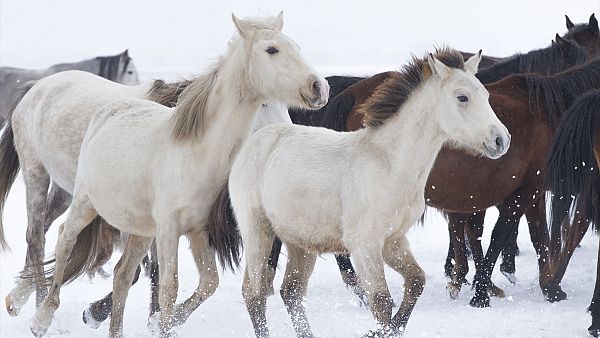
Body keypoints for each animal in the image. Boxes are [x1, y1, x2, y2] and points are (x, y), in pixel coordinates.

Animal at [28, 11, 328, 336]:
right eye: (271, 49)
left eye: (296, 46)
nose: (319, 87)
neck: (196, 152)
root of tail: (111, 110)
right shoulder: (170, 230)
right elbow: (168, 288)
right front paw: (160, 320)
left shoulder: (197, 231)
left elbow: (208, 284)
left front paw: (163, 321)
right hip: (85, 203)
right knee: (64, 240)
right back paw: (41, 318)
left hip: (141, 230)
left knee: (122, 275)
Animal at [221, 48, 510, 336]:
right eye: (462, 97)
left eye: (486, 95)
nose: (501, 140)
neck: (390, 164)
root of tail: (257, 139)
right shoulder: (364, 245)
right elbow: (381, 301)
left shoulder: (394, 240)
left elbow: (416, 282)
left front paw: (389, 329)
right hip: (258, 232)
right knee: (254, 293)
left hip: (300, 242)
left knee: (291, 292)